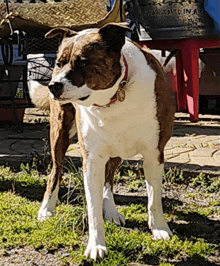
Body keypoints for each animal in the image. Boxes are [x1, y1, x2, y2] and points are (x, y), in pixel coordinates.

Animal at [29, 22, 174, 260]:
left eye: (83, 62)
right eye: (59, 63)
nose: (53, 86)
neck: (115, 96)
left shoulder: (154, 154)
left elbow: (154, 198)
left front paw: (160, 229)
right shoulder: (92, 160)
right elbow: (92, 208)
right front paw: (96, 245)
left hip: (115, 150)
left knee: (109, 178)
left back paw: (112, 210)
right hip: (59, 132)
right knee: (55, 172)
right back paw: (47, 208)